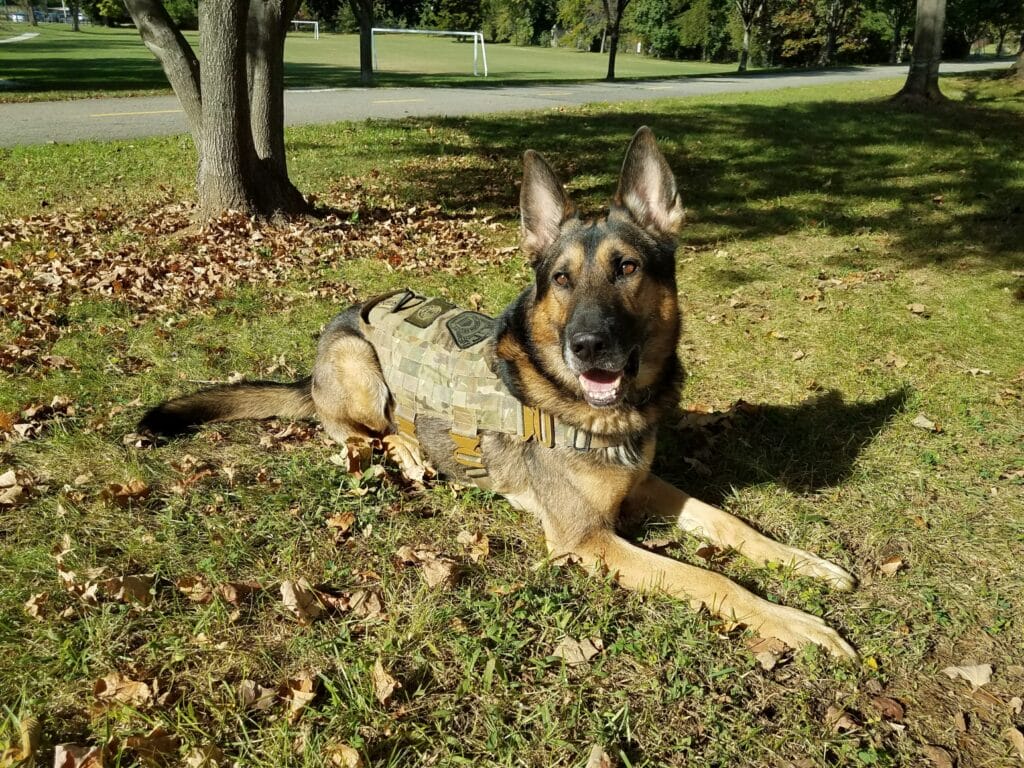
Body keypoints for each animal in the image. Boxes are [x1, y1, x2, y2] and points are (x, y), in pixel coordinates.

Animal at [140, 127, 856, 658]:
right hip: (360, 364)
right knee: (347, 433)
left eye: (627, 267)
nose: (588, 346)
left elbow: (733, 526)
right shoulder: (586, 541)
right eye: (562, 279)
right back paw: (404, 452)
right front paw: (796, 622)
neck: (600, 411)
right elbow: (711, 576)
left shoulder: (646, 486)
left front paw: (806, 564)